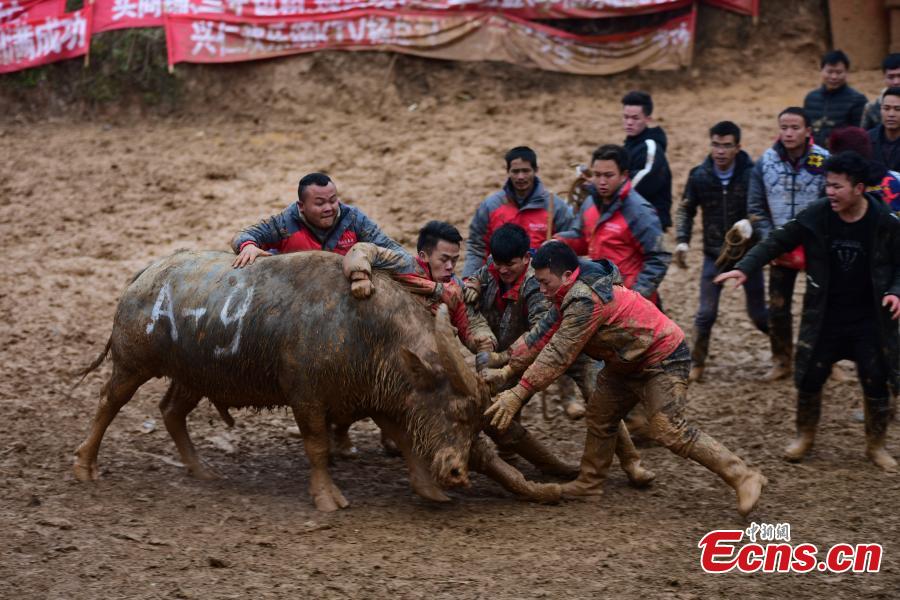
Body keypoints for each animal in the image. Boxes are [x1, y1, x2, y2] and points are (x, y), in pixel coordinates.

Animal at [75, 250, 564, 510]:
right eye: (458, 413)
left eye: (479, 421)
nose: (459, 473)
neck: (363, 328)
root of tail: (146, 275)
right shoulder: (306, 398)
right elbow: (316, 446)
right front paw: (328, 497)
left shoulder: (382, 399)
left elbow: (408, 442)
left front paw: (429, 489)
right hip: (132, 365)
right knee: (108, 403)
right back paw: (85, 466)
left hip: (194, 377)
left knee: (171, 411)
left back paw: (201, 470)